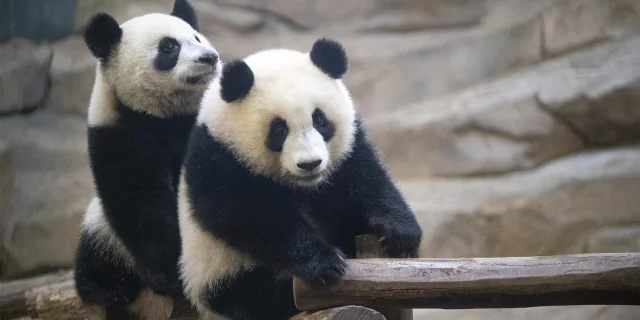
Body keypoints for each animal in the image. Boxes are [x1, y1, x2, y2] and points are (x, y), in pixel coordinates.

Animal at [72, 0, 221, 318]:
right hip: (105, 233)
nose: (209, 57)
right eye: (169, 46)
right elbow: (140, 201)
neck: (165, 115)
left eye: (197, 37)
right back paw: (109, 288)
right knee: (95, 252)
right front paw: (170, 276)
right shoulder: (118, 133)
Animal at [178, 37, 422, 320]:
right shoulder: (219, 157)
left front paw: (399, 233)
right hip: (221, 275)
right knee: (260, 295)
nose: (310, 164)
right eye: (279, 129)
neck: (303, 186)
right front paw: (323, 263)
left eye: (320, 120)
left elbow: (368, 179)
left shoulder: (347, 151)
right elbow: (246, 214)